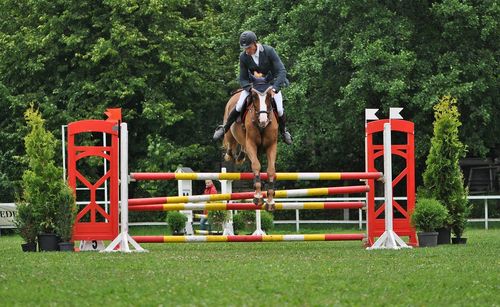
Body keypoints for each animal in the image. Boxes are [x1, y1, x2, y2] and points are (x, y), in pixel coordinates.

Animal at [222, 75, 278, 211]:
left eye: (269, 95)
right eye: (254, 96)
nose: (263, 121)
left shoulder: (272, 146)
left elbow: (271, 170)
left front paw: (270, 201)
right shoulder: (251, 144)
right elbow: (256, 165)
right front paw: (258, 196)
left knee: (242, 147)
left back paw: (241, 156)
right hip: (230, 131)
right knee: (230, 144)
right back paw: (230, 155)